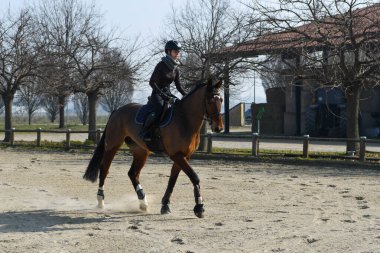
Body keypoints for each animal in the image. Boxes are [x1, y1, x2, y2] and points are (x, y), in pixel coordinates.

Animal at [83, 78, 224, 217]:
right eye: (209, 100)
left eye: (221, 100)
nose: (219, 128)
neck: (184, 119)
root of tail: (117, 111)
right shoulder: (177, 155)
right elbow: (194, 177)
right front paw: (199, 207)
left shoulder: (184, 156)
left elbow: (172, 180)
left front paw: (165, 205)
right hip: (113, 145)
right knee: (104, 170)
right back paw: (101, 201)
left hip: (141, 151)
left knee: (133, 173)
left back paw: (143, 202)